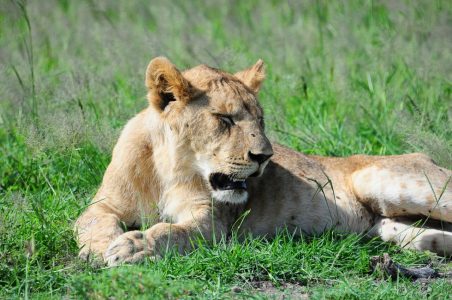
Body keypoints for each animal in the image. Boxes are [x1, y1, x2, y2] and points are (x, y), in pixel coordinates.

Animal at [74, 56, 452, 264]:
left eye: (260, 120)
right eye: (225, 119)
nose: (264, 156)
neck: (168, 169)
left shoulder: (212, 223)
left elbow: (172, 231)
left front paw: (135, 245)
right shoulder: (104, 204)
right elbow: (91, 222)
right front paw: (102, 248)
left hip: (386, 182)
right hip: (390, 227)